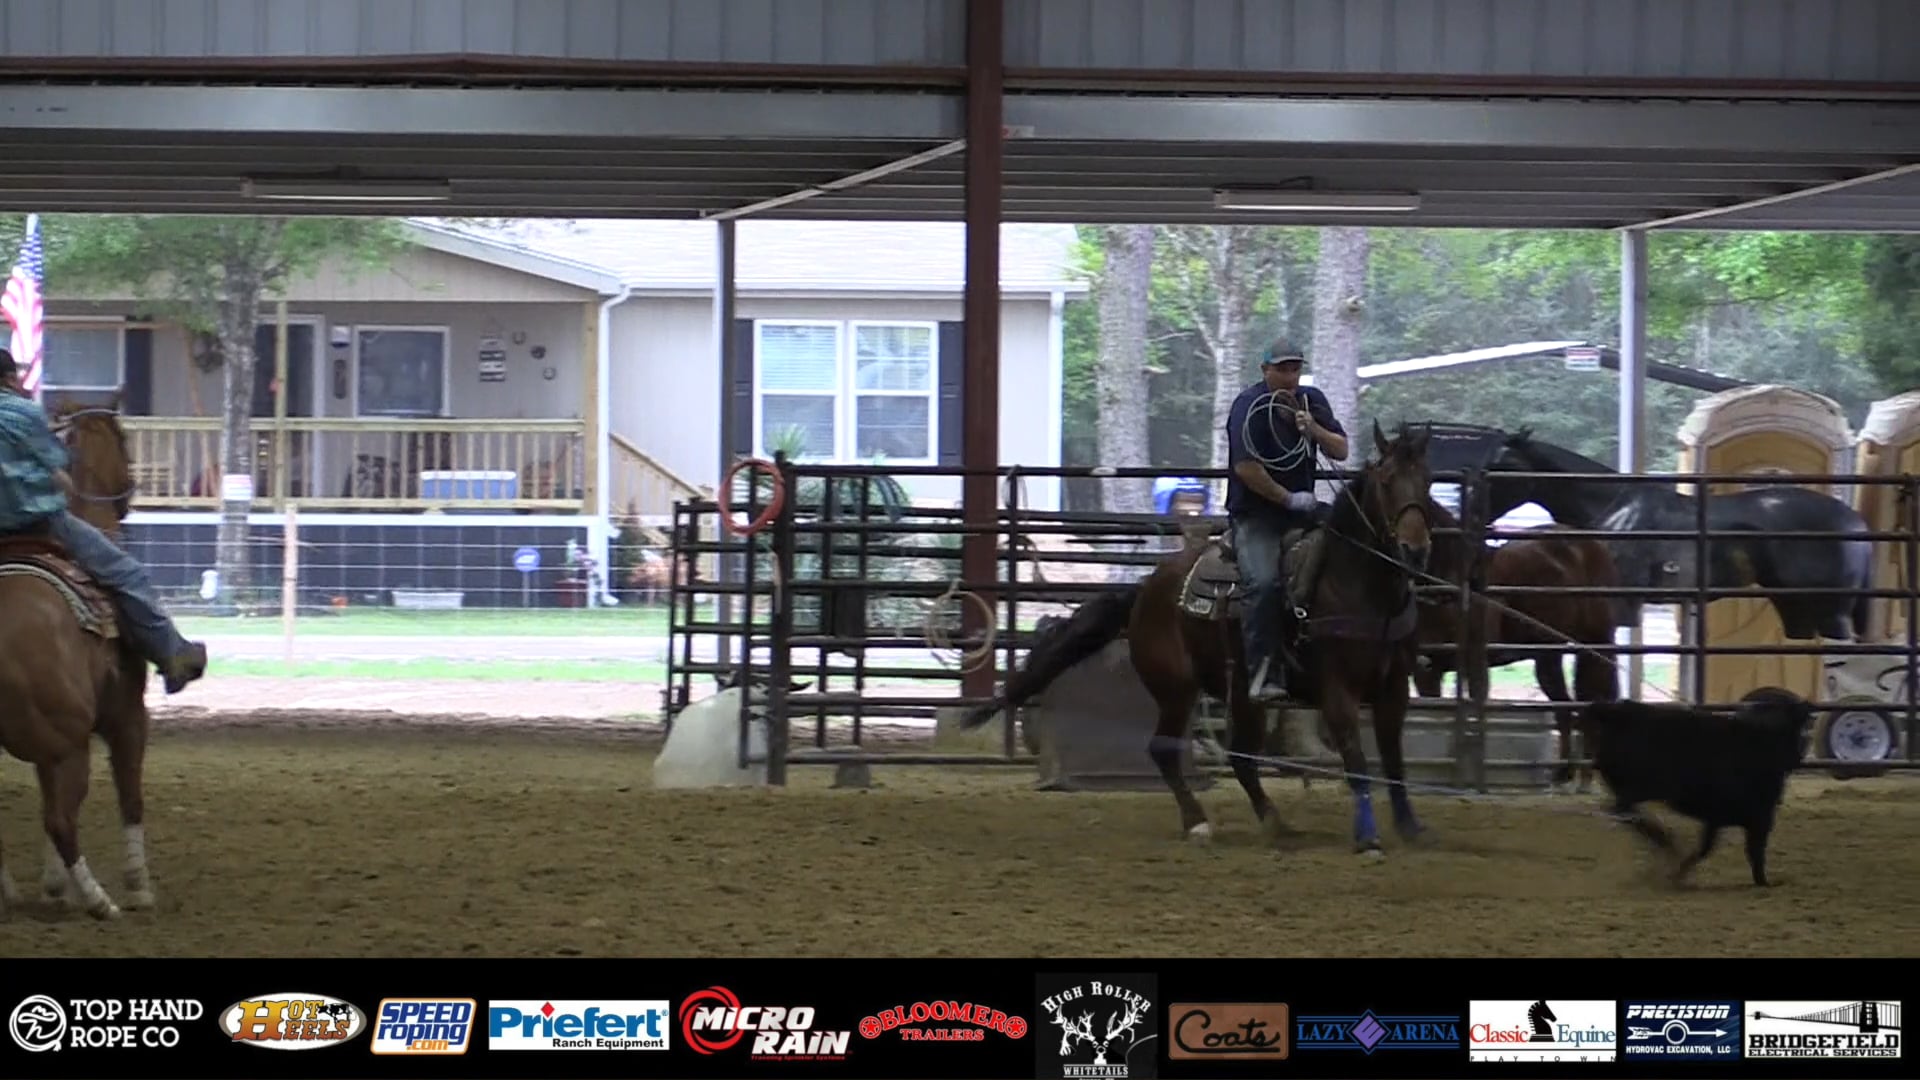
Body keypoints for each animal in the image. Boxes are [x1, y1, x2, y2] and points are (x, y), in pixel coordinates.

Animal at [0, 396, 154, 920]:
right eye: (125, 440)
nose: (129, 495)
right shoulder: (127, 715)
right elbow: (130, 793)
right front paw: (138, 885)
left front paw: (51, 885)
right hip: (71, 740)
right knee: (61, 819)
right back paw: (99, 900)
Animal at [966, 420, 1438, 857]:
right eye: (1386, 480)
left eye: (1428, 480)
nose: (1415, 550)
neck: (1358, 586)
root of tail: (1145, 590)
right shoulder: (1336, 689)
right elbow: (1357, 761)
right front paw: (1369, 837)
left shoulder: (1394, 690)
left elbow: (1393, 760)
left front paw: (1410, 827)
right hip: (1177, 688)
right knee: (1164, 748)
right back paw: (1198, 823)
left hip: (1243, 693)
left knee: (1241, 757)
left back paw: (1275, 822)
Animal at [1414, 499, 1621, 790]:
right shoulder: (1426, 670)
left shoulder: (1474, 662)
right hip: (1548, 656)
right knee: (1565, 708)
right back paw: (1564, 773)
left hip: (1594, 645)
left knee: (1590, 701)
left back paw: (1583, 777)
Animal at [1488, 430, 1874, 642]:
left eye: (1502, 465)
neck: (1615, 505)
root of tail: (1857, 524)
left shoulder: (1622, 605)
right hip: (1795, 608)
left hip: (1832, 614)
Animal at [1585, 688, 1814, 888]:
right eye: (1799, 731)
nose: (1797, 758)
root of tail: (1619, 712)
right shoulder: (1760, 817)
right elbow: (1754, 852)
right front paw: (1765, 882)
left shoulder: (1718, 819)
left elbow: (1707, 848)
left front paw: (1678, 872)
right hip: (1642, 787)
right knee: (1624, 810)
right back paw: (1664, 840)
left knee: (1623, 811)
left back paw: (1663, 841)